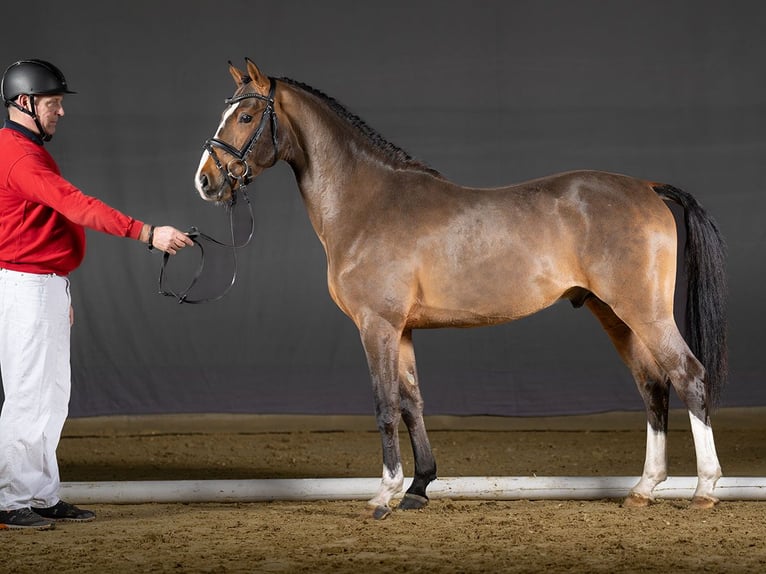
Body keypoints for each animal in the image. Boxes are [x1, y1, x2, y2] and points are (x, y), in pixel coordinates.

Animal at [195, 59, 728, 520]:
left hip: (644, 311)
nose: (206, 180)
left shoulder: (377, 326)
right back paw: (643, 489)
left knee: (689, 376)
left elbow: (384, 404)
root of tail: (646, 186)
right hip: (614, 313)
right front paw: (418, 488)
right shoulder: (403, 330)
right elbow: (411, 402)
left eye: (246, 116)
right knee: (652, 385)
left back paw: (704, 489)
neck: (368, 202)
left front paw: (384, 495)